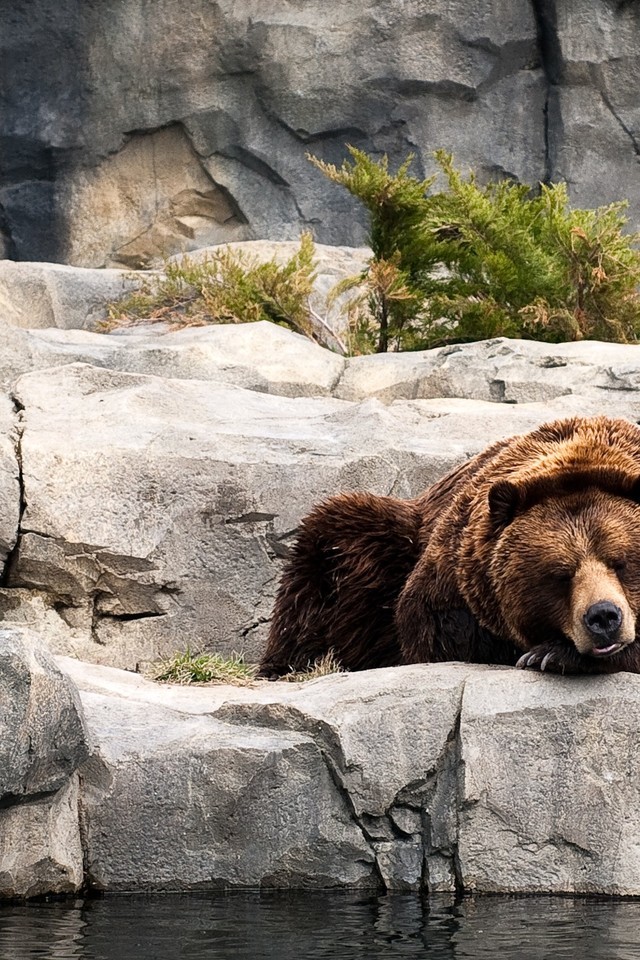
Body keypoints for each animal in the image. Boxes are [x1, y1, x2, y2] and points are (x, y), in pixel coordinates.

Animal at [258, 416, 640, 680]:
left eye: (620, 561)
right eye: (560, 574)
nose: (603, 617)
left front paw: (552, 654)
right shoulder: (452, 575)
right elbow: (435, 631)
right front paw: (546, 652)